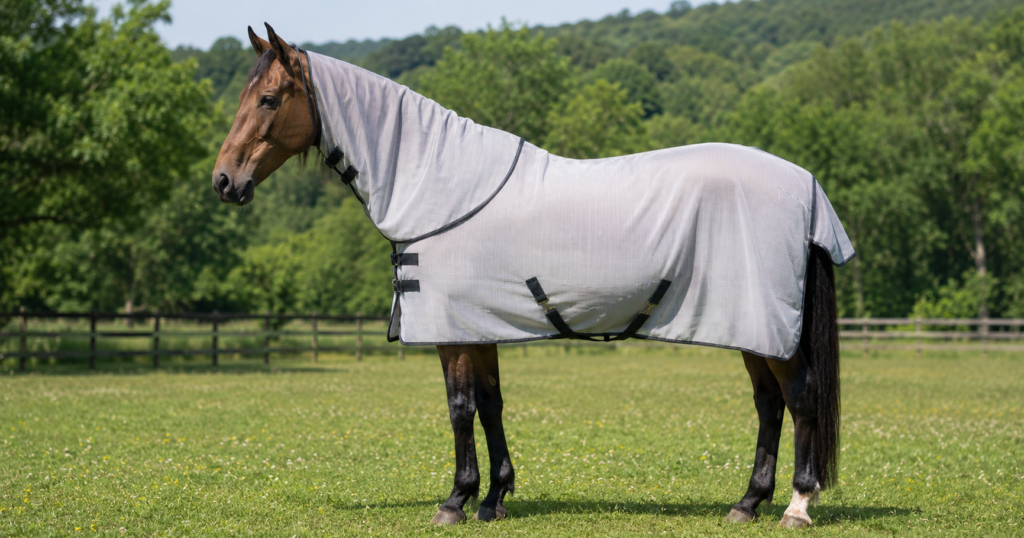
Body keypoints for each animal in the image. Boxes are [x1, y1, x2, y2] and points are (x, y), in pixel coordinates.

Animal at [212, 24, 852, 529]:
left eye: (268, 99)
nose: (223, 181)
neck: (440, 183)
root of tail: (805, 186)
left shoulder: (451, 330)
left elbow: (460, 407)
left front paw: (456, 500)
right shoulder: (480, 326)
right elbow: (491, 403)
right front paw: (494, 497)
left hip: (770, 329)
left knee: (800, 398)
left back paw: (797, 506)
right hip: (753, 328)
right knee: (769, 404)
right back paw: (747, 502)